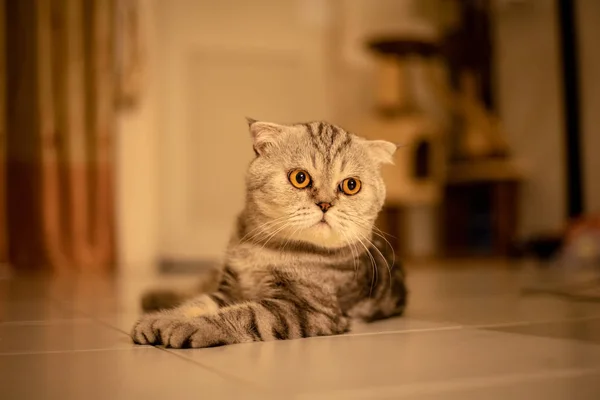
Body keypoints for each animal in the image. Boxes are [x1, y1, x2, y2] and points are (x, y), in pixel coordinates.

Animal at [129, 119, 406, 346]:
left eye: (351, 185)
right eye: (300, 178)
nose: (325, 204)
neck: (264, 250)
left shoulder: (305, 310)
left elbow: (241, 314)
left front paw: (182, 326)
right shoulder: (229, 289)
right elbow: (197, 302)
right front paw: (160, 319)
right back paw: (153, 297)